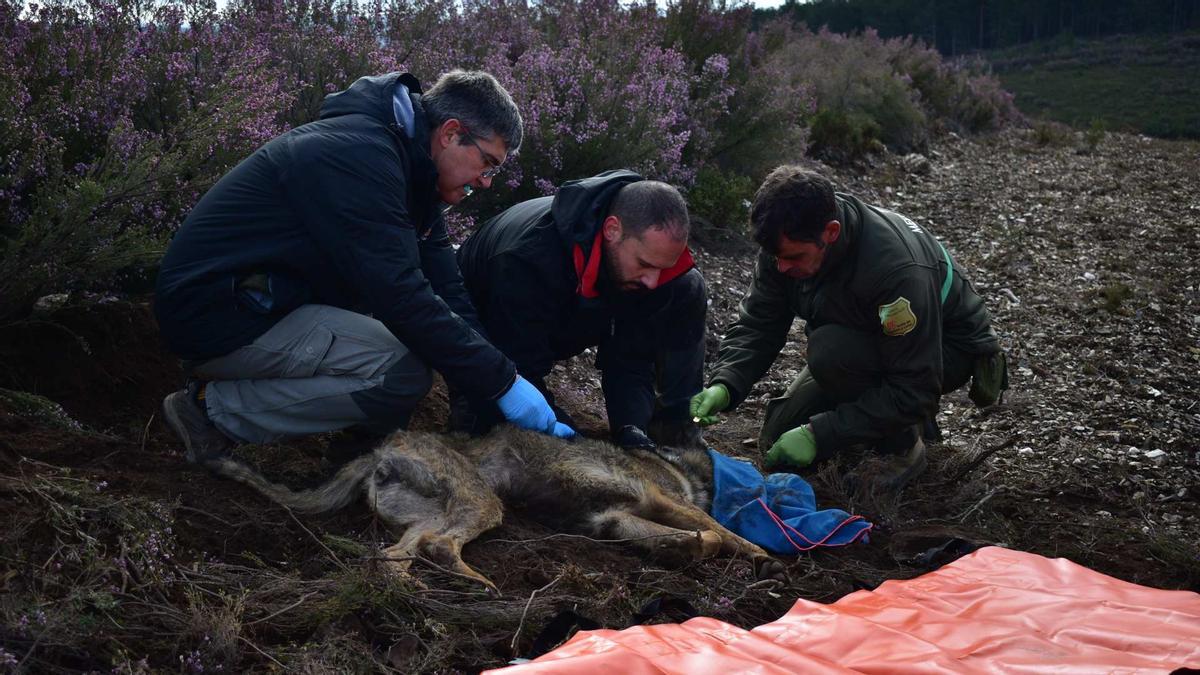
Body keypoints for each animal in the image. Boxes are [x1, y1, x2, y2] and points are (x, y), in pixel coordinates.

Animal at [201, 422, 782, 590]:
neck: (674, 462)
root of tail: (381, 449)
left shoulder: (614, 519)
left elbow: (696, 537)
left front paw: (682, 551)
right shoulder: (655, 498)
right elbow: (717, 530)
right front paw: (761, 555)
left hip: (434, 512)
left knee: (397, 555)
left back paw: (420, 590)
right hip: (480, 503)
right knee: (438, 546)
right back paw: (474, 583)